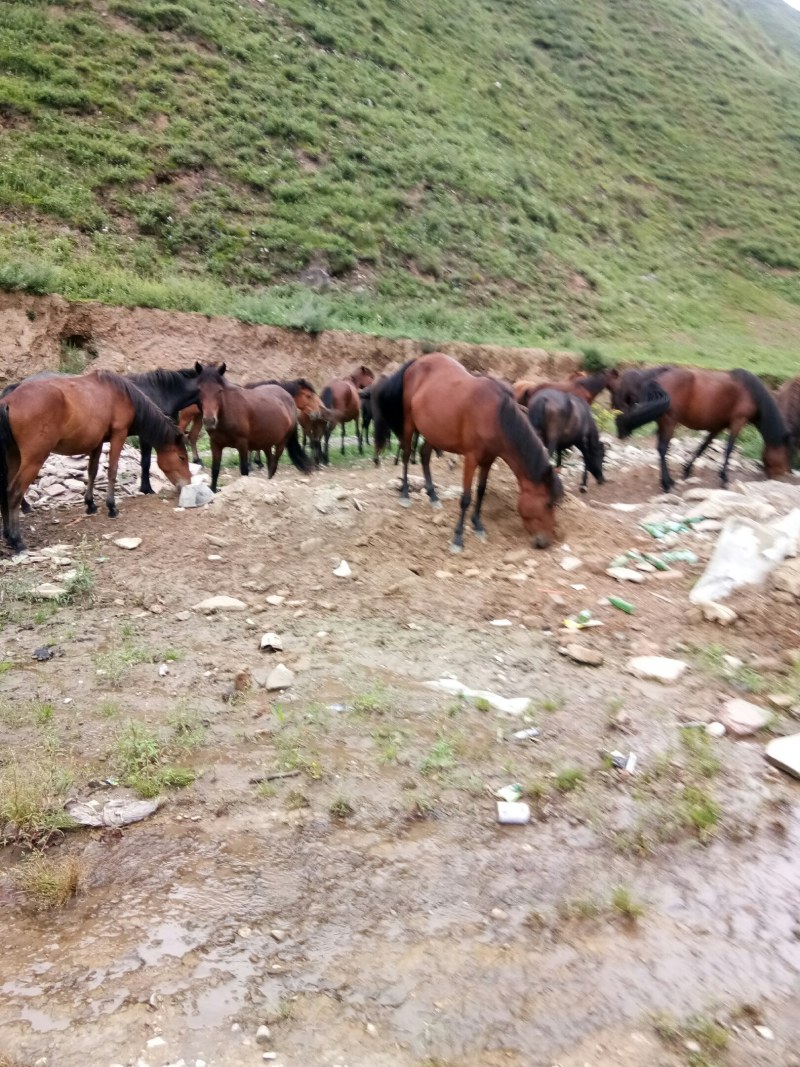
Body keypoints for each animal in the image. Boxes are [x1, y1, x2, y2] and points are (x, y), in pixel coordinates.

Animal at [0, 371, 190, 553]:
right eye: (182, 457)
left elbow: (92, 470)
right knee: (14, 492)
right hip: (33, 459)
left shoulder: (98, 442)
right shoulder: (118, 434)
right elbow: (112, 470)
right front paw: (112, 507)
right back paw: (17, 541)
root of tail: (8, 401)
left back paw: (8, 535)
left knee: (5, 490)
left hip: (13, 456)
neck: (122, 394)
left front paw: (90, 504)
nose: (187, 483)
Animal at [371, 353, 563, 551]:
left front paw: (477, 524)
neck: (495, 416)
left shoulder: (488, 460)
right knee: (407, 454)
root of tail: (416, 362)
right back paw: (405, 494)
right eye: (548, 503)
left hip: (433, 430)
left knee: (424, 456)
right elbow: (466, 497)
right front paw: (458, 537)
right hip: (410, 424)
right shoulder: (471, 459)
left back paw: (433, 496)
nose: (545, 541)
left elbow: (481, 491)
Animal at [611, 366, 790, 492]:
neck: (751, 392)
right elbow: (729, 449)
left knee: (660, 449)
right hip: (669, 423)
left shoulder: (718, 426)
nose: (782, 476)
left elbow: (703, 446)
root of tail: (659, 377)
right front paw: (724, 478)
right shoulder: (737, 422)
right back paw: (667, 484)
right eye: (785, 453)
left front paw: (687, 470)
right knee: (662, 449)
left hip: (663, 423)